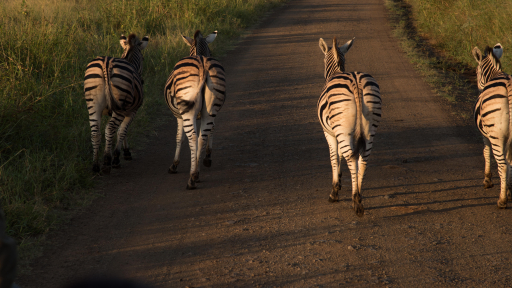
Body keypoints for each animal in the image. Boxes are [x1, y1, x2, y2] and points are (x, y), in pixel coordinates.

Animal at [83, 33, 148, 173]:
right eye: (143, 58)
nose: (142, 81)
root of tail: (106, 63)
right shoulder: (131, 111)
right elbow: (122, 131)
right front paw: (121, 155)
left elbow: (121, 131)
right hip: (120, 106)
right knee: (110, 128)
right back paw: (107, 161)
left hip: (93, 104)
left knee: (95, 133)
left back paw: (95, 165)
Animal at [165, 45, 225, 189]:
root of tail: (203, 65)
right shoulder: (210, 115)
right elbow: (212, 129)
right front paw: (207, 158)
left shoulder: (179, 116)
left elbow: (179, 138)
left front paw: (174, 164)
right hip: (210, 109)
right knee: (201, 138)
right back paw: (196, 174)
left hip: (187, 111)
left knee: (192, 137)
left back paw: (192, 178)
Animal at [318, 36, 382, 216]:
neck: (336, 72)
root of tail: (356, 83)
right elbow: (340, 155)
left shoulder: (329, 133)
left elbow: (334, 156)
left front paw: (335, 188)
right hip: (369, 128)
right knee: (364, 158)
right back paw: (358, 196)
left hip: (343, 129)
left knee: (351, 157)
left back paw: (355, 200)